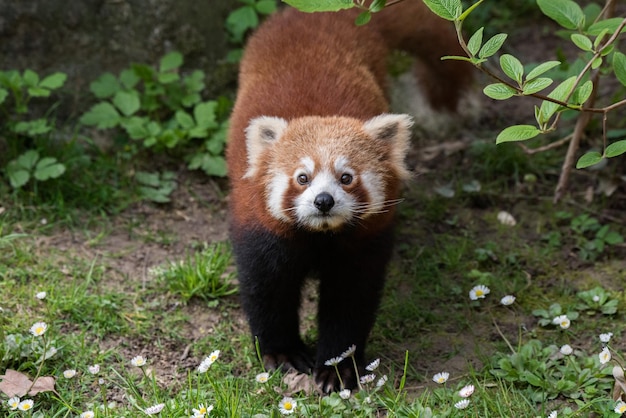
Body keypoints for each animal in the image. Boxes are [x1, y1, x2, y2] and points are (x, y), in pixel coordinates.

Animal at [227, 0, 470, 392]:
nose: (323, 201)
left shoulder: (365, 241)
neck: (319, 237)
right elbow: (267, 290)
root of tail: (332, 14)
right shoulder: (260, 228)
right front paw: (283, 353)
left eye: (346, 178)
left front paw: (337, 368)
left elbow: (349, 303)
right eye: (302, 178)